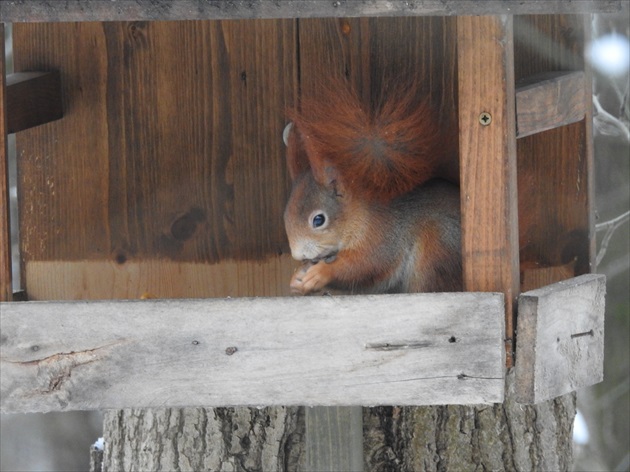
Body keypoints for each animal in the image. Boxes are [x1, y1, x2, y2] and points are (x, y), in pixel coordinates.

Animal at [284, 80, 462, 296]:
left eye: (318, 220)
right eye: (285, 215)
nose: (298, 255)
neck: (358, 215)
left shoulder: (382, 234)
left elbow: (366, 265)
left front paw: (321, 273)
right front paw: (296, 279)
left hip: (437, 248)